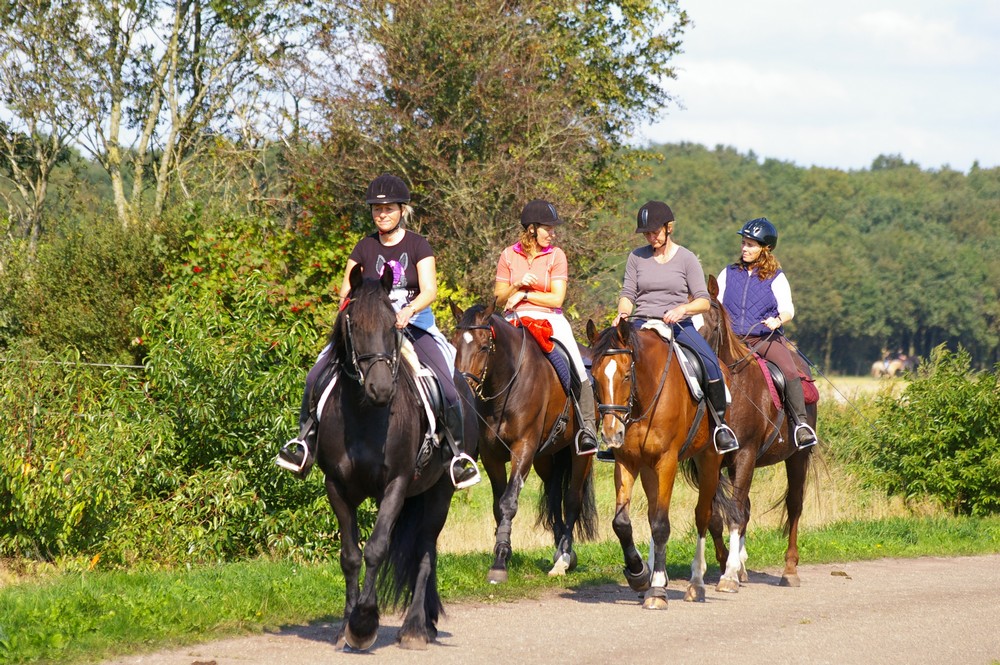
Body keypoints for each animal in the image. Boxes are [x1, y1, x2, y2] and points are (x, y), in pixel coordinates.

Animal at [318, 264, 478, 648]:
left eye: (393, 325)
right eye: (355, 326)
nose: (381, 389)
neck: (365, 415)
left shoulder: (396, 484)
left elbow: (376, 548)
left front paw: (363, 623)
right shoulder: (336, 487)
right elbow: (350, 555)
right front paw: (345, 627)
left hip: (439, 492)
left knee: (424, 552)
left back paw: (416, 627)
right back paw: (426, 623)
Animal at [452, 300, 592, 580]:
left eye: (484, 347)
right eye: (455, 343)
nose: (462, 388)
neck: (506, 384)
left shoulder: (523, 449)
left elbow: (508, 502)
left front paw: (499, 562)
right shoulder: (492, 456)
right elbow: (498, 505)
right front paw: (502, 551)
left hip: (580, 454)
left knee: (572, 498)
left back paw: (564, 559)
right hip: (547, 457)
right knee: (553, 497)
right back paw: (560, 550)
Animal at [584, 316, 744, 608]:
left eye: (626, 376)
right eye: (596, 378)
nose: (611, 433)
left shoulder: (667, 461)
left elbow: (661, 525)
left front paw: (657, 589)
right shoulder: (627, 461)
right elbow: (622, 523)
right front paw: (639, 574)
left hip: (709, 459)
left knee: (703, 516)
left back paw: (696, 584)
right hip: (649, 469)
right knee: (652, 513)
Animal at [700, 274, 816, 588]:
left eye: (711, 324)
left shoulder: (746, 455)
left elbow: (736, 513)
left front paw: (728, 574)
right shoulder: (712, 460)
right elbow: (716, 515)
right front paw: (728, 565)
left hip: (797, 457)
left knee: (795, 505)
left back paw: (789, 570)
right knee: (748, 508)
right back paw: (742, 566)